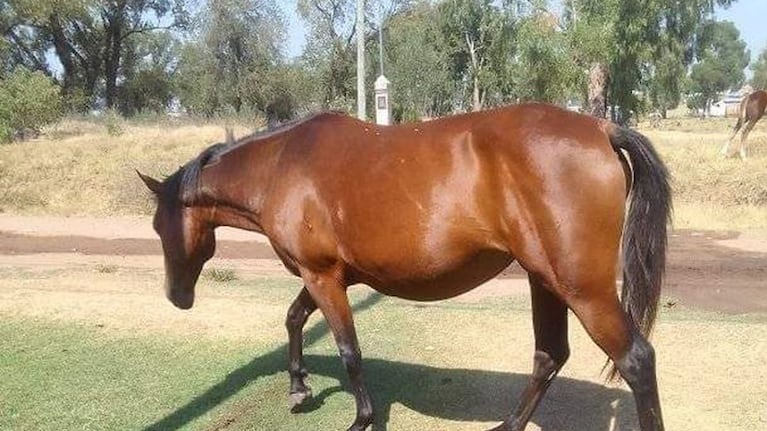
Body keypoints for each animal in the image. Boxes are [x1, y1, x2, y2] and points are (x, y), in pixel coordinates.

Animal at [138, 103, 671, 431]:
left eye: (160, 226)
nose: (176, 297)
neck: (281, 166)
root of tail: (601, 129)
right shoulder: (323, 275)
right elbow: (293, 318)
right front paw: (298, 388)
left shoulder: (323, 276)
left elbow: (349, 351)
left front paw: (360, 418)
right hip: (546, 279)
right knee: (549, 355)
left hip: (583, 290)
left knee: (636, 360)